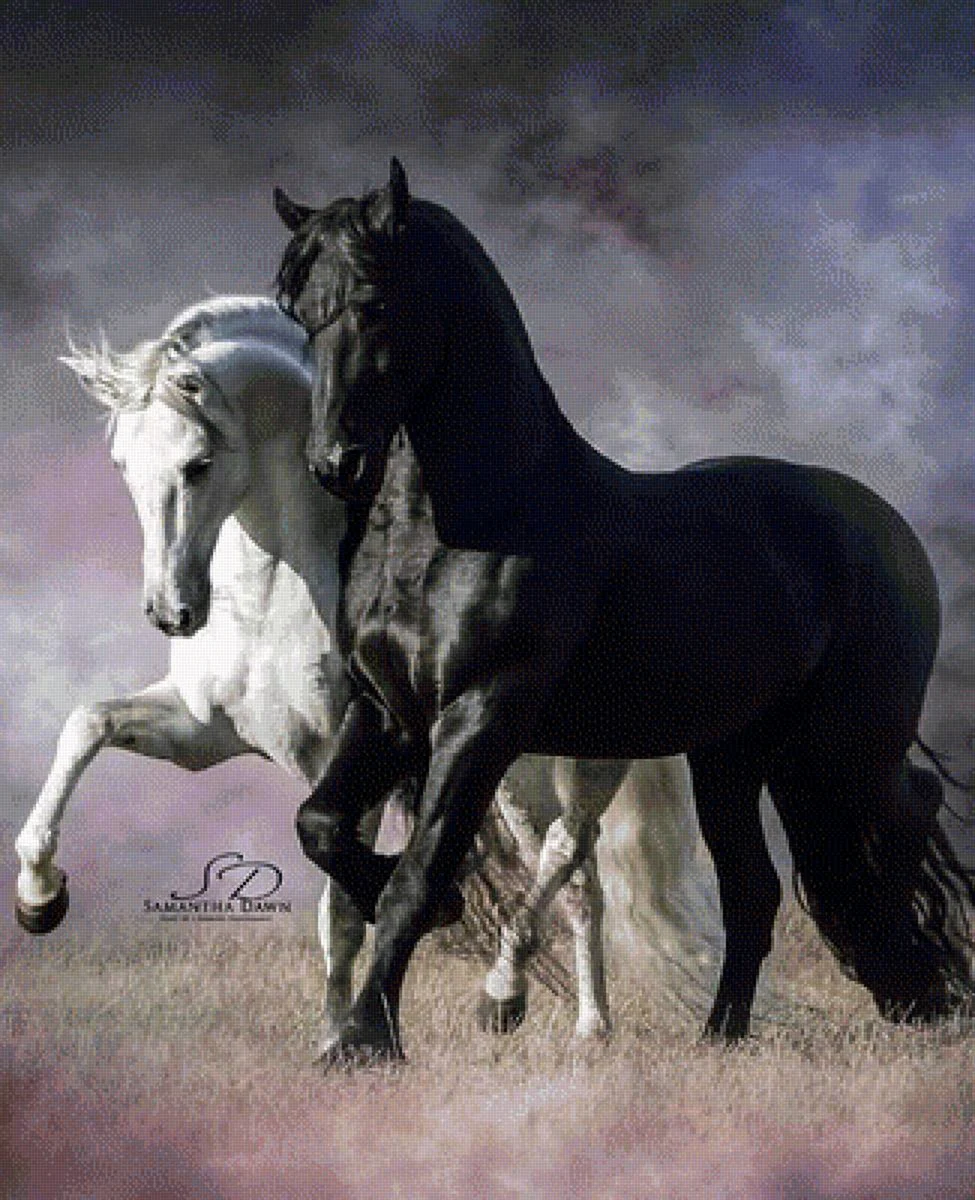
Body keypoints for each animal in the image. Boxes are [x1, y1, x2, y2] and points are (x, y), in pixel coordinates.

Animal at [12, 293, 712, 1046]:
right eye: (121, 464)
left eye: (198, 463)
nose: (171, 611)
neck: (273, 593)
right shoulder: (203, 733)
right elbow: (86, 723)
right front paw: (39, 896)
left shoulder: (342, 756)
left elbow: (341, 913)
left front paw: (340, 1031)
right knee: (582, 880)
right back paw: (583, 1023)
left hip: (552, 769)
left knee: (565, 857)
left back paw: (520, 998)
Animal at [273, 158, 975, 1065]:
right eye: (298, 310)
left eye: (374, 300)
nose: (336, 463)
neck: (476, 520)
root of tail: (886, 530)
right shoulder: (389, 713)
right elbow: (320, 824)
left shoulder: (481, 717)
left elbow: (418, 875)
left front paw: (365, 1040)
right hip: (737, 755)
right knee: (757, 890)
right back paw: (725, 1035)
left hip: (838, 745)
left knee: (900, 816)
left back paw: (920, 992)